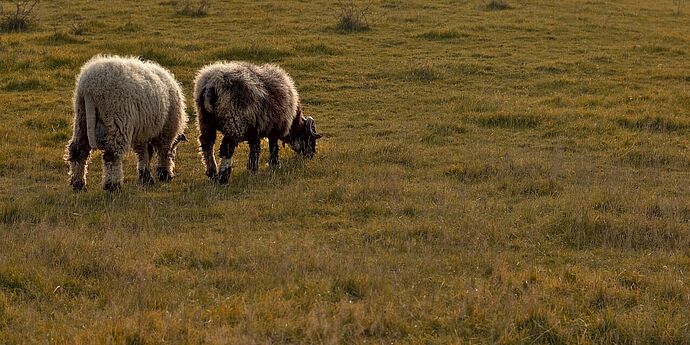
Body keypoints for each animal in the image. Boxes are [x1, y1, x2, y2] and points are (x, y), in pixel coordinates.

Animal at [64, 55, 187, 192]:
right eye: (175, 152)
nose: (170, 176)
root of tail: (90, 86)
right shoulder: (166, 130)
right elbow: (162, 152)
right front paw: (164, 173)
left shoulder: (141, 131)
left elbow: (144, 153)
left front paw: (146, 177)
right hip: (117, 119)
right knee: (112, 154)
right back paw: (113, 185)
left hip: (82, 119)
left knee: (78, 150)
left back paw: (78, 184)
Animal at [192, 62, 322, 185]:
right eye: (309, 138)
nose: (311, 155)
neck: (293, 122)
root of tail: (211, 85)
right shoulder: (274, 128)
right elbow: (273, 147)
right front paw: (274, 164)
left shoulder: (254, 131)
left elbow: (254, 148)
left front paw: (252, 169)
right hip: (234, 122)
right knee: (227, 148)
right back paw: (223, 178)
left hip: (205, 121)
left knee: (207, 143)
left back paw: (212, 173)